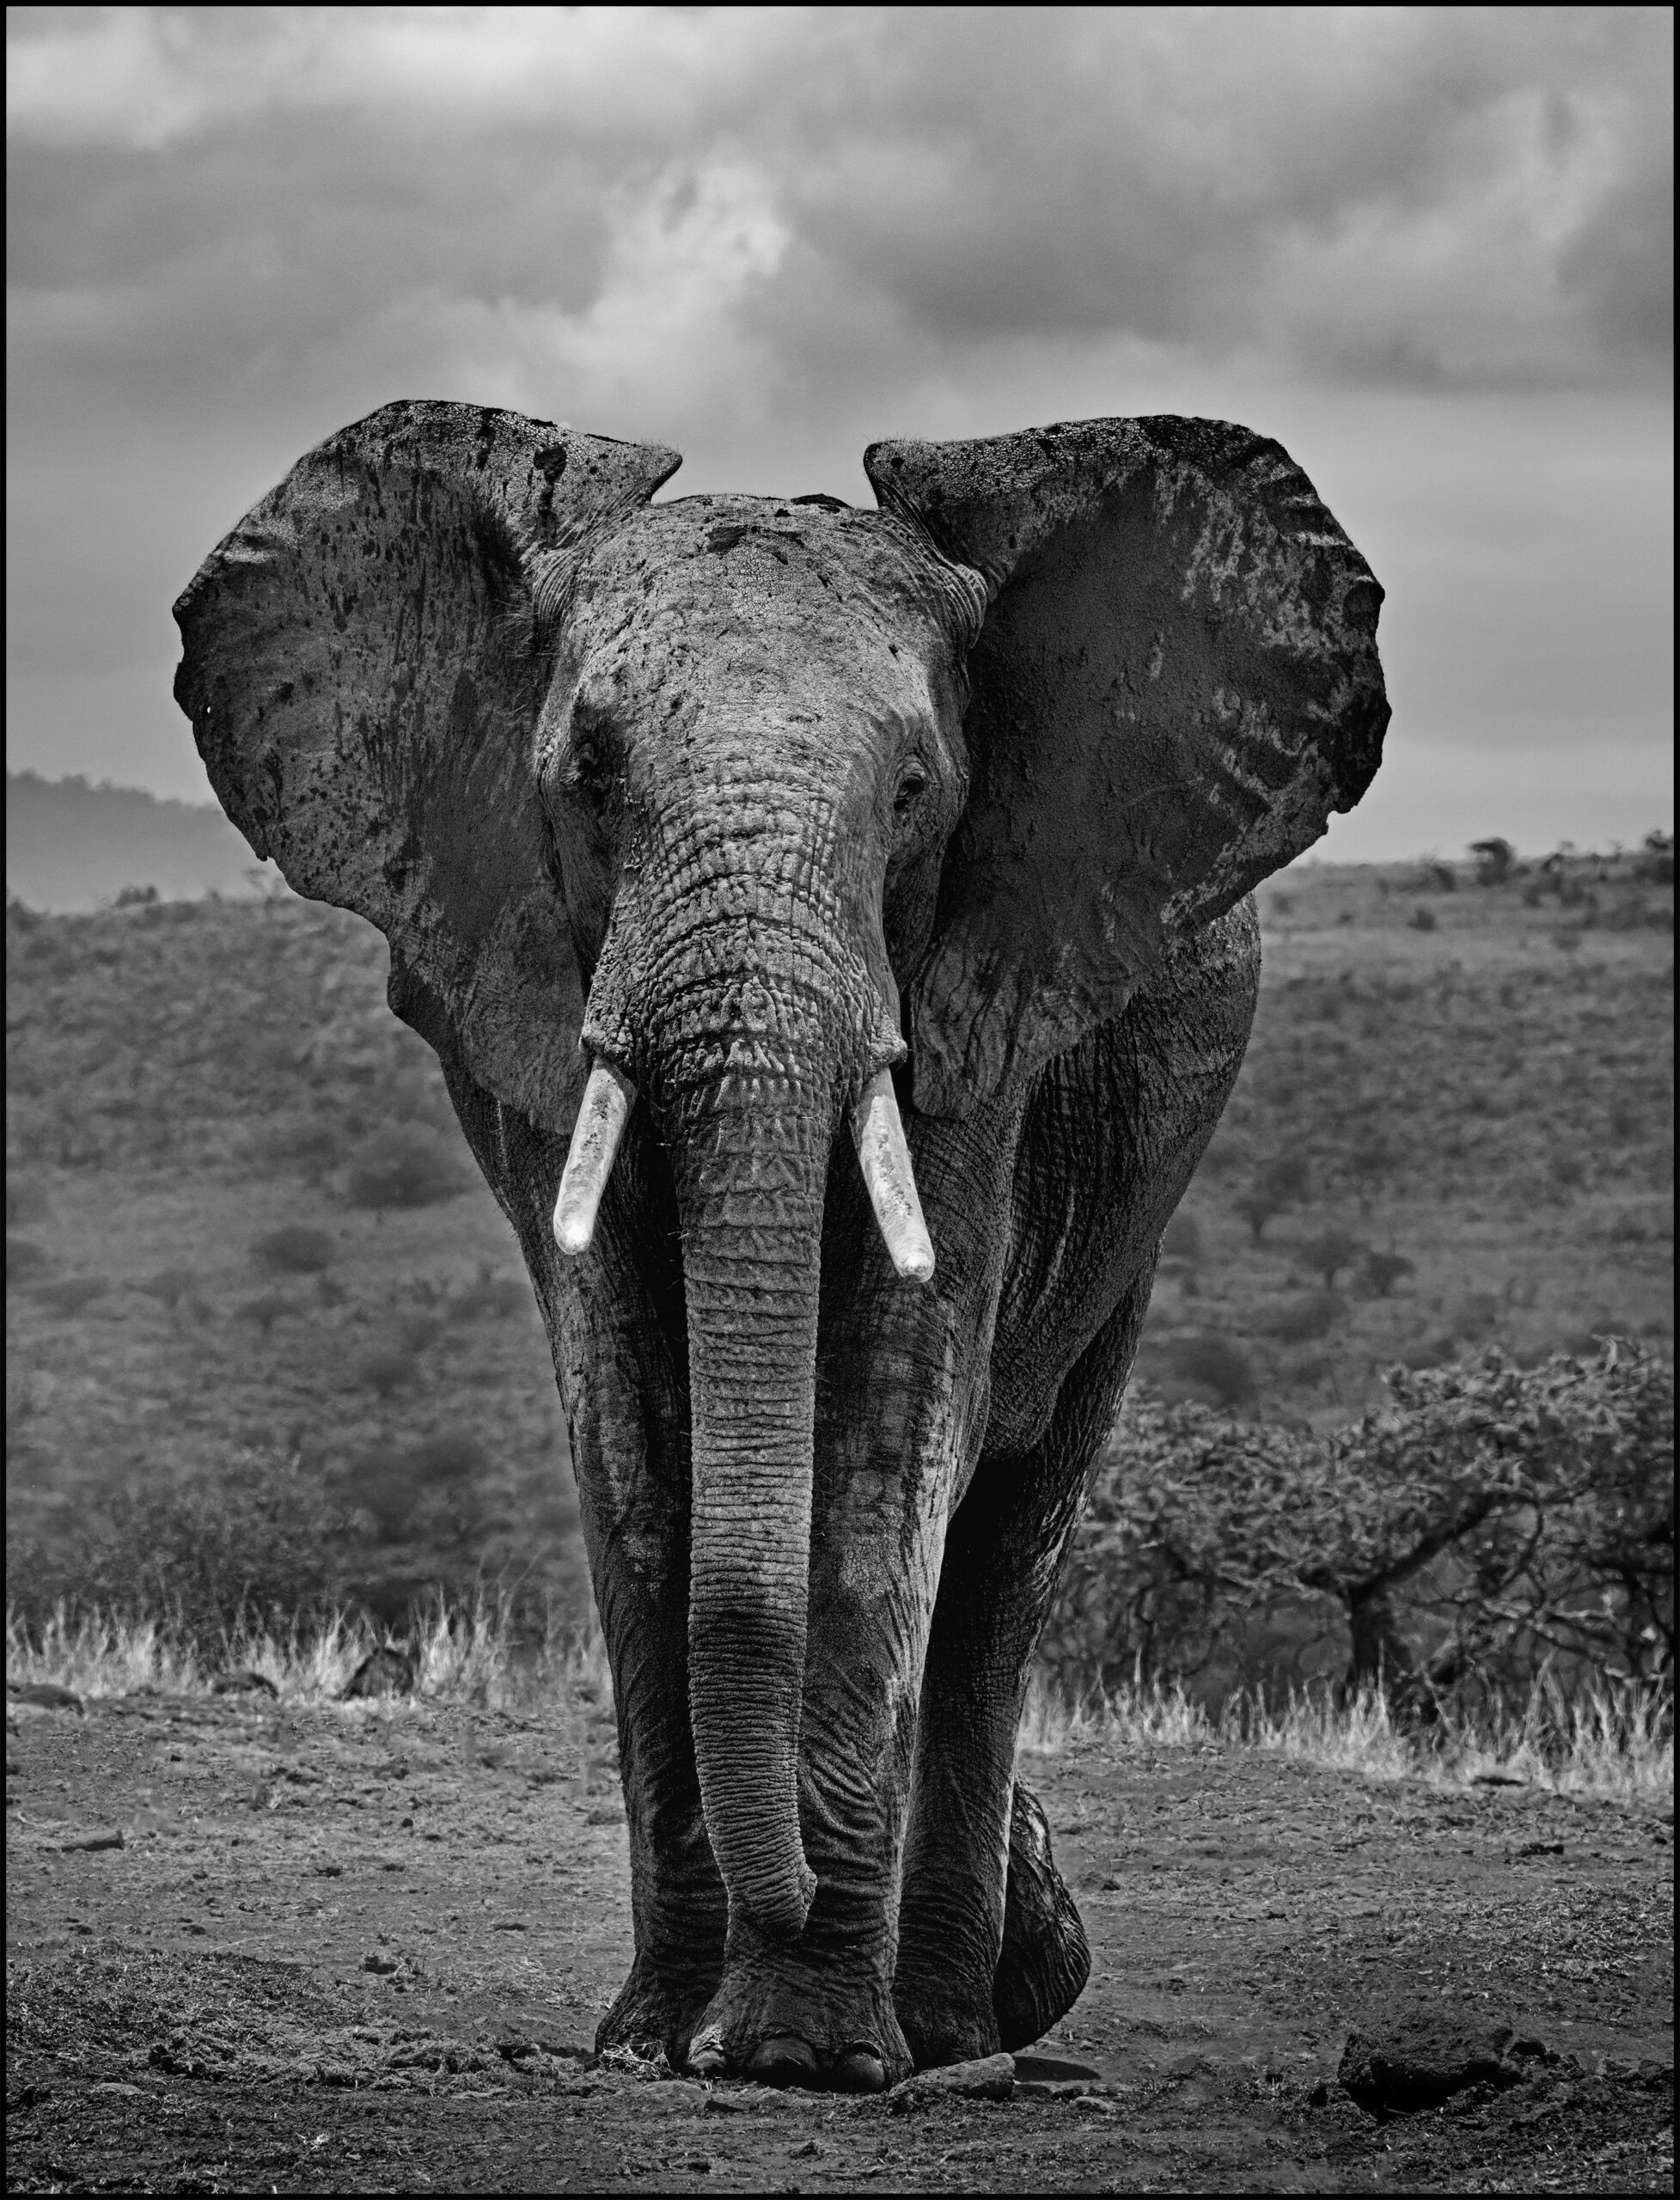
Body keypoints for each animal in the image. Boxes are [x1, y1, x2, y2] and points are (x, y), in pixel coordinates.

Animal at [173, 398, 1387, 2092]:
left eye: (917, 790)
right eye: (589, 774)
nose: (795, 1882)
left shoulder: (971, 1003)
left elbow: (893, 1420)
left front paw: (802, 2052)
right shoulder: (534, 1008)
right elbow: (628, 1434)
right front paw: (654, 2043)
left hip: (1135, 1212)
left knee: (1007, 1542)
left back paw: (947, 2028)